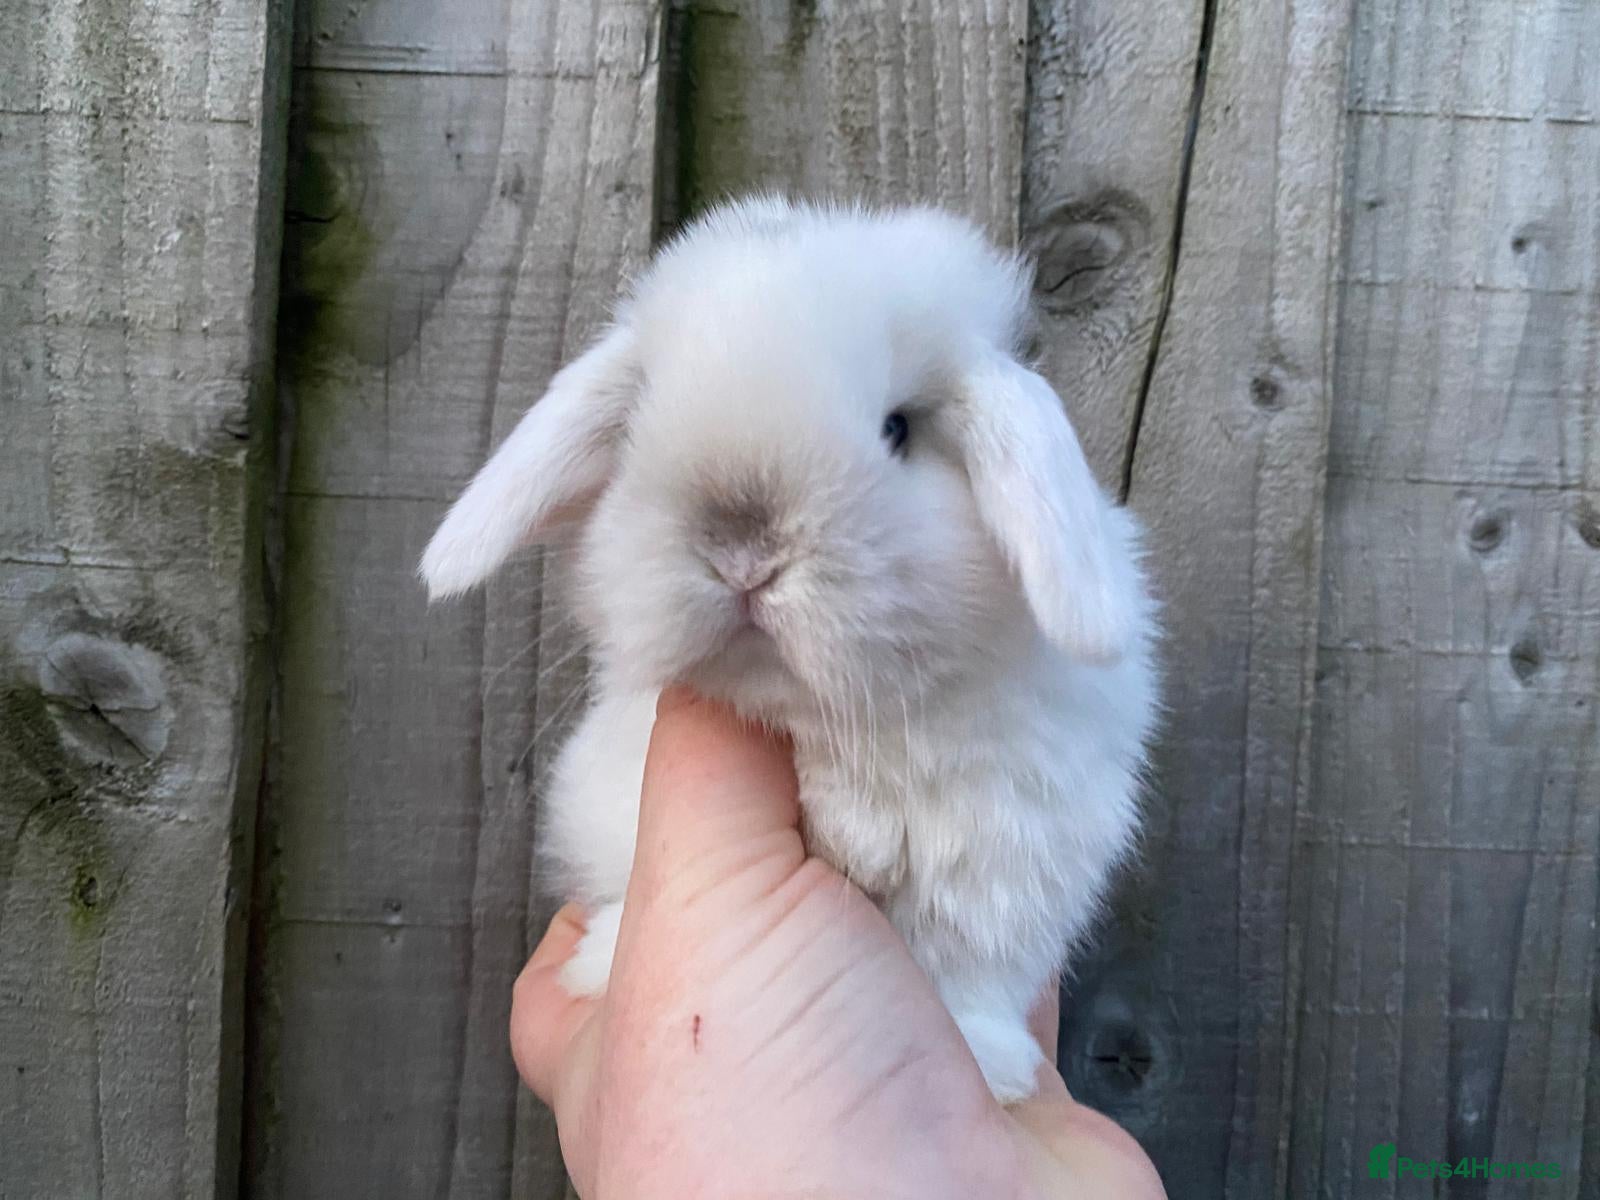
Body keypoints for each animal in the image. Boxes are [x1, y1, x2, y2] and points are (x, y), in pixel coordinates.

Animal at [420, 195, 1159, 1104]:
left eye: (898, 428)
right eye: (640, 424)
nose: (741, 550)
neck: (833, 723)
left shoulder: (1019, 854)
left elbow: (968, 970)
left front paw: (992, 1068)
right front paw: (603, 961)